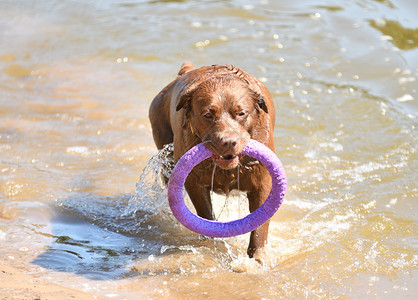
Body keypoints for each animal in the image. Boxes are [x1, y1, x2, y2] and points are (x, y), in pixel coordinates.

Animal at [149, 62, 276, 262]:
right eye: (208, 114)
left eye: (241, 113)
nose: (229, 141)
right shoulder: (194, 183)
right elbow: (206, 215)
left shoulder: (262, 183)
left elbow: (259, 227)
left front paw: (256, 259)